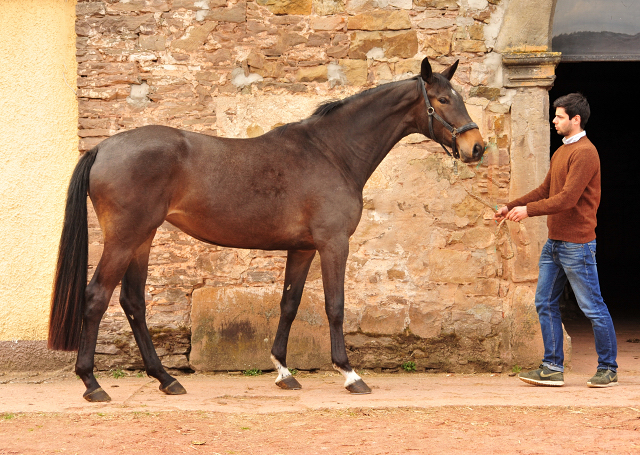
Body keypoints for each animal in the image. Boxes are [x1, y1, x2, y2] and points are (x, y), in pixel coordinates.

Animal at [47, 57, 482, 402]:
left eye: (460, 97)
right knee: (96, 297)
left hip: (143, 239)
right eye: (443, 100)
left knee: (133, 302)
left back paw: (166, 379)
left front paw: (284, 372)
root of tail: (102, 147)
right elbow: (335, 306)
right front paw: (349, 374)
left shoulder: (303, 248)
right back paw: (92, 384)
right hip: (125, 239)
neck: (331, 152)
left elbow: (289, 304)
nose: (477, 147)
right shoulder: (333, 244)